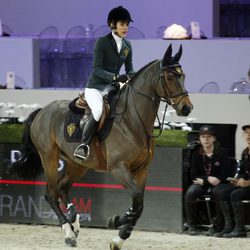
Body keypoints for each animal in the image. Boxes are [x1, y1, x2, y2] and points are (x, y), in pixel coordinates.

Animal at [15, 44, 193, 249]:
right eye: (170, 77)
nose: (187, 108)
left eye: (183, 76)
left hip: (77, 164)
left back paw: (75, 220)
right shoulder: (118, 168)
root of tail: (42, 111)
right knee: (51, 194)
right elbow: (136, 200)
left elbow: (139, 204)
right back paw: (68, 233)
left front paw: (119, 237)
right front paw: (116, 221)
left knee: (62, 187)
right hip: (49, 158)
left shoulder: (141, 170)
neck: (133, 120)